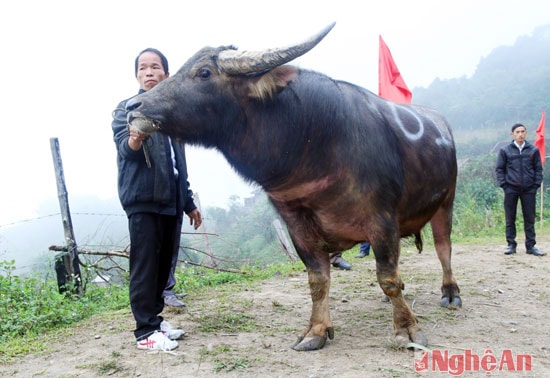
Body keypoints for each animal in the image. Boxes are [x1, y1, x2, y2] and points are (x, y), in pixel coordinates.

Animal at [125, 22, 462, 350]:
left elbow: (389, 278)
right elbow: (318, 280)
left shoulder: (382, 219)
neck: (315, 143)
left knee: (443, 248)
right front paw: (316, 331)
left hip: (446, 201)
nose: (132, 107)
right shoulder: (297, 226)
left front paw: (407, 329)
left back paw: (450, 293)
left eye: (204, 72)